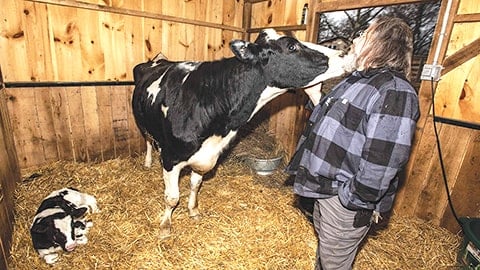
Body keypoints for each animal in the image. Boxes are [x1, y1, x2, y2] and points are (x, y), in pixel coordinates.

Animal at [132, 28, 352, 238]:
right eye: (292, 46)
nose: (344, 52)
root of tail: (158, 60)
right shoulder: (171, 158)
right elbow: (172, 198)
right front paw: (165, 226)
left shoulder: (206, 157)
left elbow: (195, 185)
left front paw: (193, 211)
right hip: (142, 124)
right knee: (148, 140)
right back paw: (148, 162)